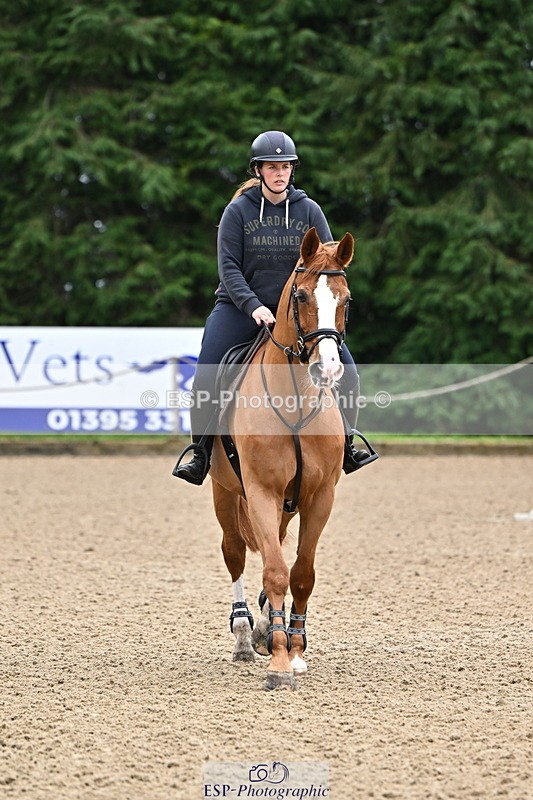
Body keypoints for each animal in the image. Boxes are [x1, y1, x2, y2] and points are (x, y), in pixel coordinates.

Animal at [209, 226, 354, 691]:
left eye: (346, 299)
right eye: (303, 296)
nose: (327, 369)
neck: (295, 402)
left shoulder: (320, 497)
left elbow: (301, 574)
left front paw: (295, 649)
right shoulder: (261, 492)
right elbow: (274, 570)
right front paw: (277, 661)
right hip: (224, 492)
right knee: (235, 552)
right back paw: (244, 635)